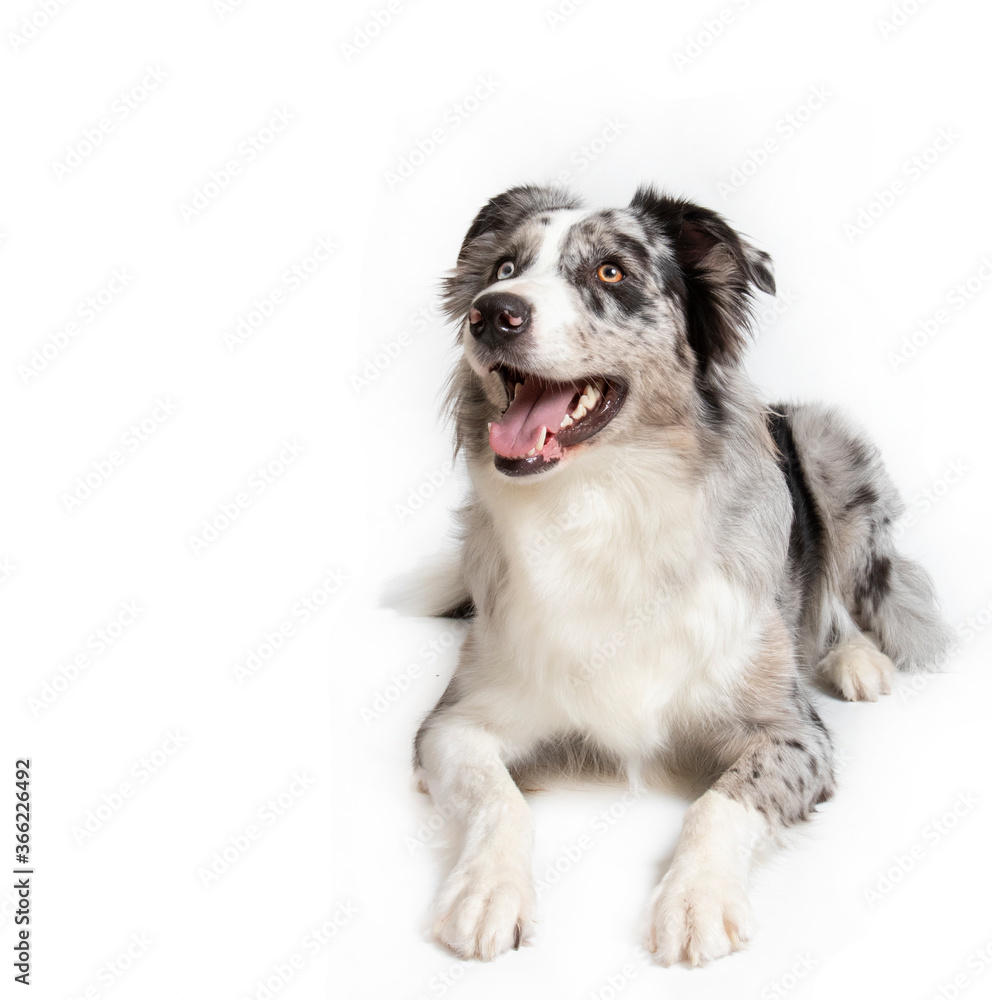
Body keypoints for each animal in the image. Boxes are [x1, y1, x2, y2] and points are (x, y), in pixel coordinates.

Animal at [408, 184, 944, 964]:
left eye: (611, 272)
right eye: (504, 267)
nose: (491, 311)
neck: (603, 505)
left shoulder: (792, 731)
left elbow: (722, 800)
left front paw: (697, 899)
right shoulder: (455, 722)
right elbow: (496, 796)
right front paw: (486, 890)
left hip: (825, 443)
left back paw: (856, 661)